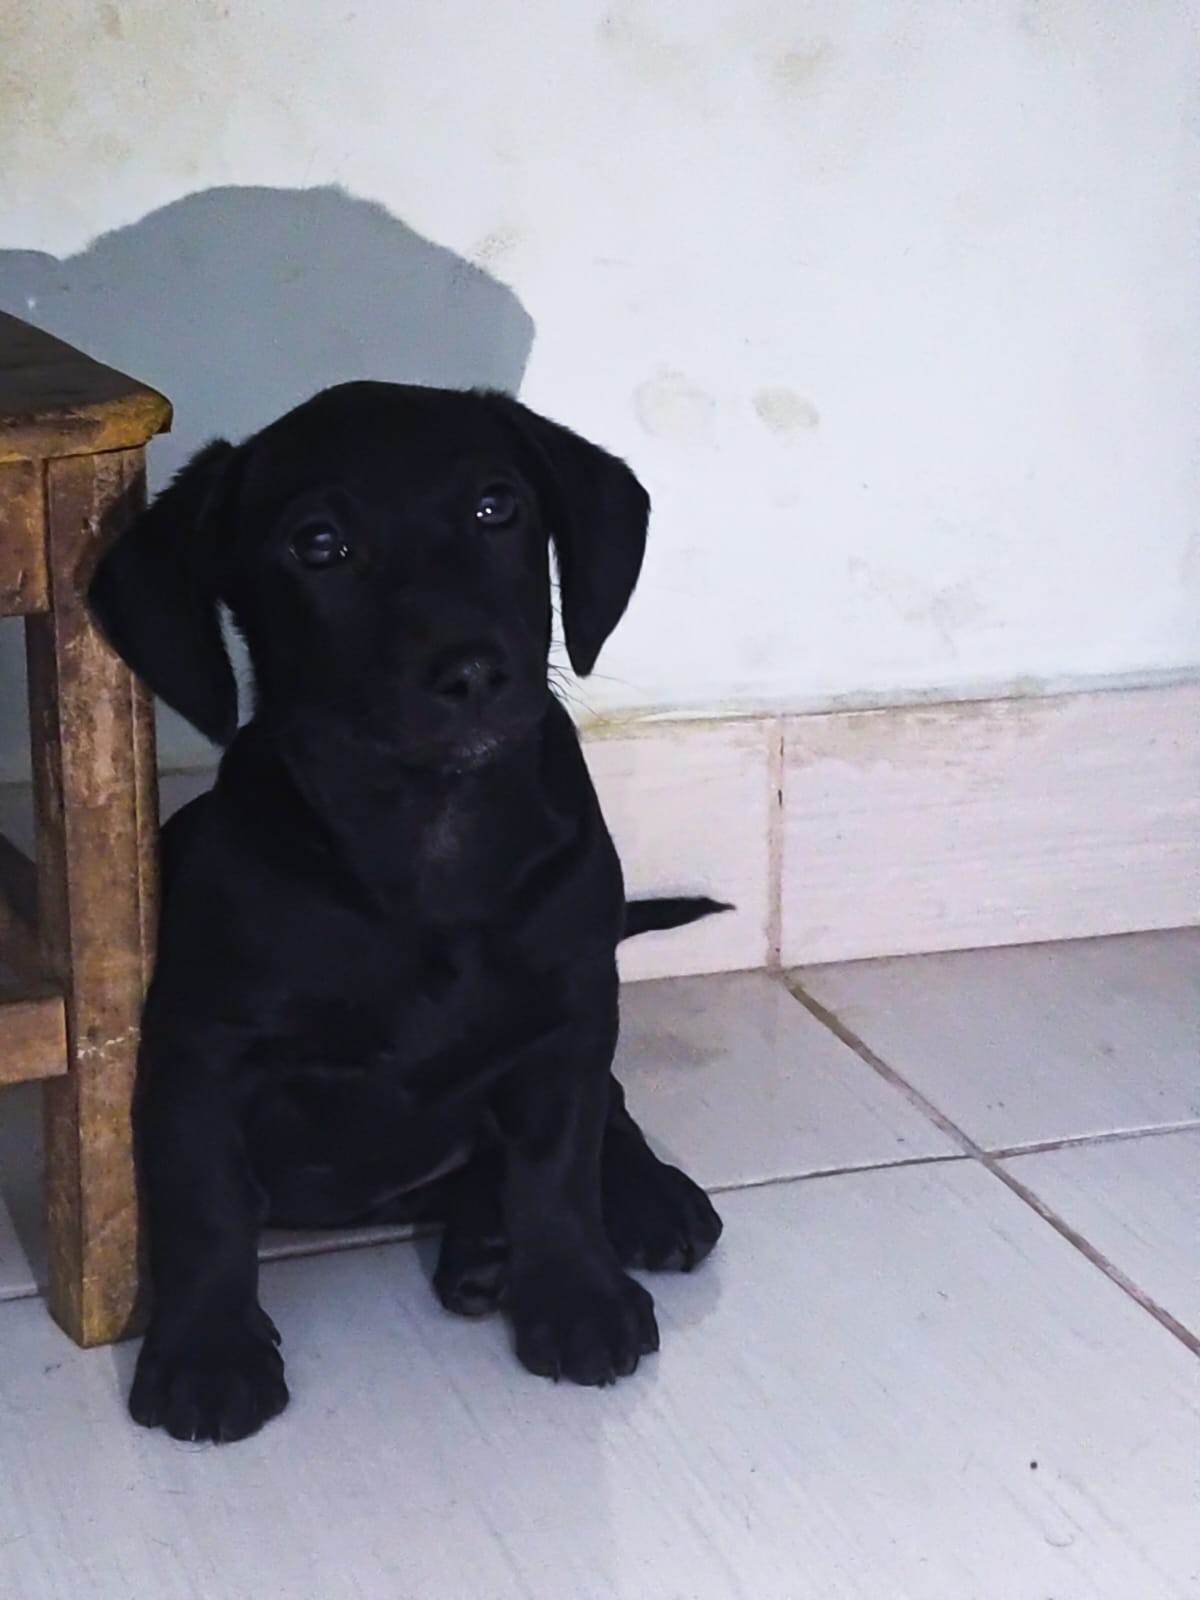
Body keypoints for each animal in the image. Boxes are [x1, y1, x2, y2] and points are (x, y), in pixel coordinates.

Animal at [88, 381, 725, 1444]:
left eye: (496, 508)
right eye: (318, 544)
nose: (471, 672)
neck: (431, 836)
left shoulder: (567, 1019)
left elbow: (559, 1162)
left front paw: (577, 1294)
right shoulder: (199, 1051)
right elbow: (205, 1204)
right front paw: (210, 1353)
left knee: (610, 1115)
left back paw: (635, 1205)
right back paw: (483, 1247)